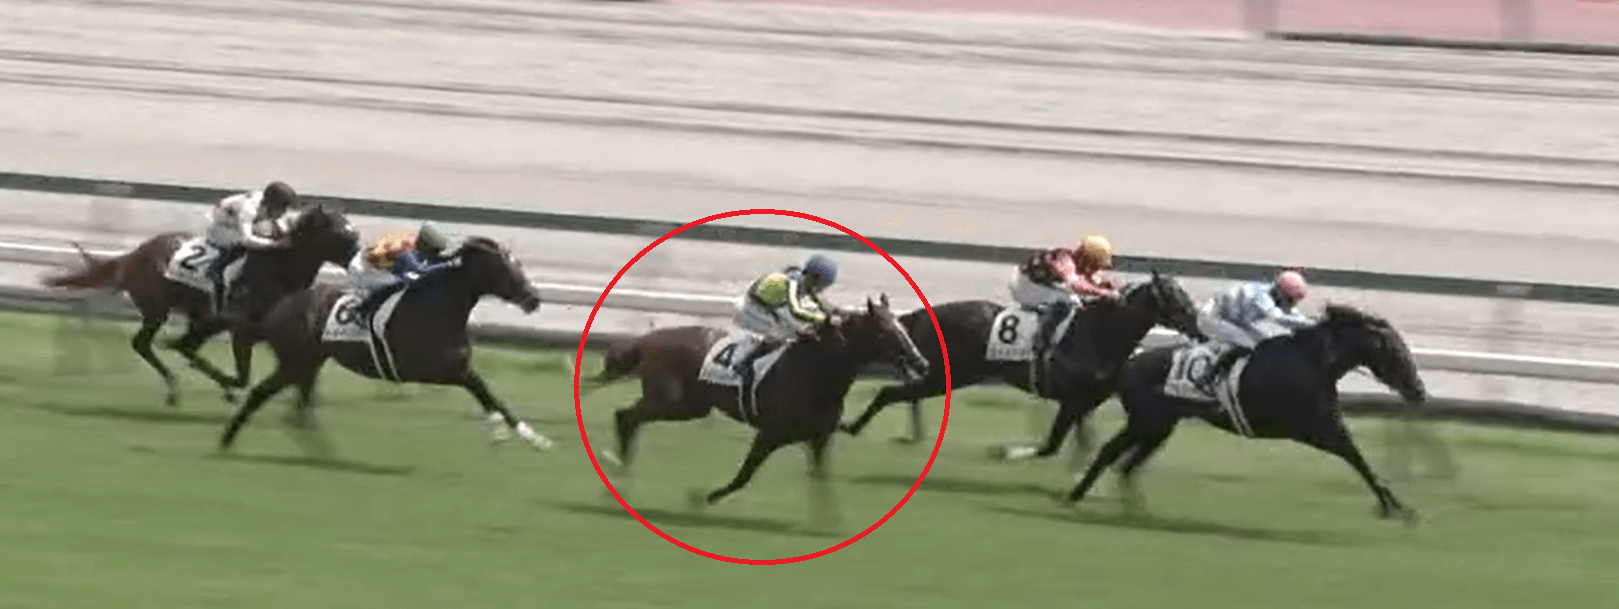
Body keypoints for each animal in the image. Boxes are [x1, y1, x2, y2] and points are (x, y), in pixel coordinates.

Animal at [40, 205, 361, 406]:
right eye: (343, 233)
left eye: (352, 231)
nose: (361, 254)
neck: (277, 269)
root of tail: (135, 254)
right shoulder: (241, 331)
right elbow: (240, 377)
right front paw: (229, 389)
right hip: (158, 309)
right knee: (144, 344)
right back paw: (173, 386)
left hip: (198, 316)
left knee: (182, 345)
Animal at [216, 235, 555, 453]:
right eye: (505, 268)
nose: (533, 299)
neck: (437, 308)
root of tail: (277, 309)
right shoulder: (438, 370)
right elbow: (485, 392)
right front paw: (509, 435)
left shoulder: (454, 367)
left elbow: (492, 397)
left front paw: (535, 438)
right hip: (295, 363)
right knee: (264, 396)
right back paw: (226, 441)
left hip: (308, 365)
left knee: (298, 410)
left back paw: (324, 453)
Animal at [577, 294, 929, 528]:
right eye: (885, 330)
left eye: (903, 326)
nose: (922, 362)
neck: (815, 371)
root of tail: (648, 339)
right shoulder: (770, 433)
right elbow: (744, 475)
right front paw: (703, 496)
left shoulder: (818, 437)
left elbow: (821, 477)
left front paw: (830, 521)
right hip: (676, 403)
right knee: (625, 417)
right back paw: (618, 476)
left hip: (690, 407)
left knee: (628, 418)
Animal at [839, 271, 1207, 462]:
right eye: (1176, 299)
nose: (1200, 328)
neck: (1100, 333)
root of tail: (920, 314)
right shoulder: (1071, 400)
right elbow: (1053, 445)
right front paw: (1007, 451)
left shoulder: (1083, 402)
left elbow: (1081, 443)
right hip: (944, 376)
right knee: (889, 393)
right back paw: (851, 427)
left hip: (946, 376)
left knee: (897, 394)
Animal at [1064, 303, 1427, 524]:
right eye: (1397, 352)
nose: (1420, 391)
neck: (1314, 362)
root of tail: (1126, 365)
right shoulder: (1318, 429)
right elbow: (1359, 460)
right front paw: (1396, 508)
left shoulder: (1325, 426)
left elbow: (1361, 461)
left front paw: (1396, 506)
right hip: (1145, 422)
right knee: (1111, 453)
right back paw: (1075, 495)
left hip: (1158, 427)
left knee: (1127, 464)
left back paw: (1135, 510)